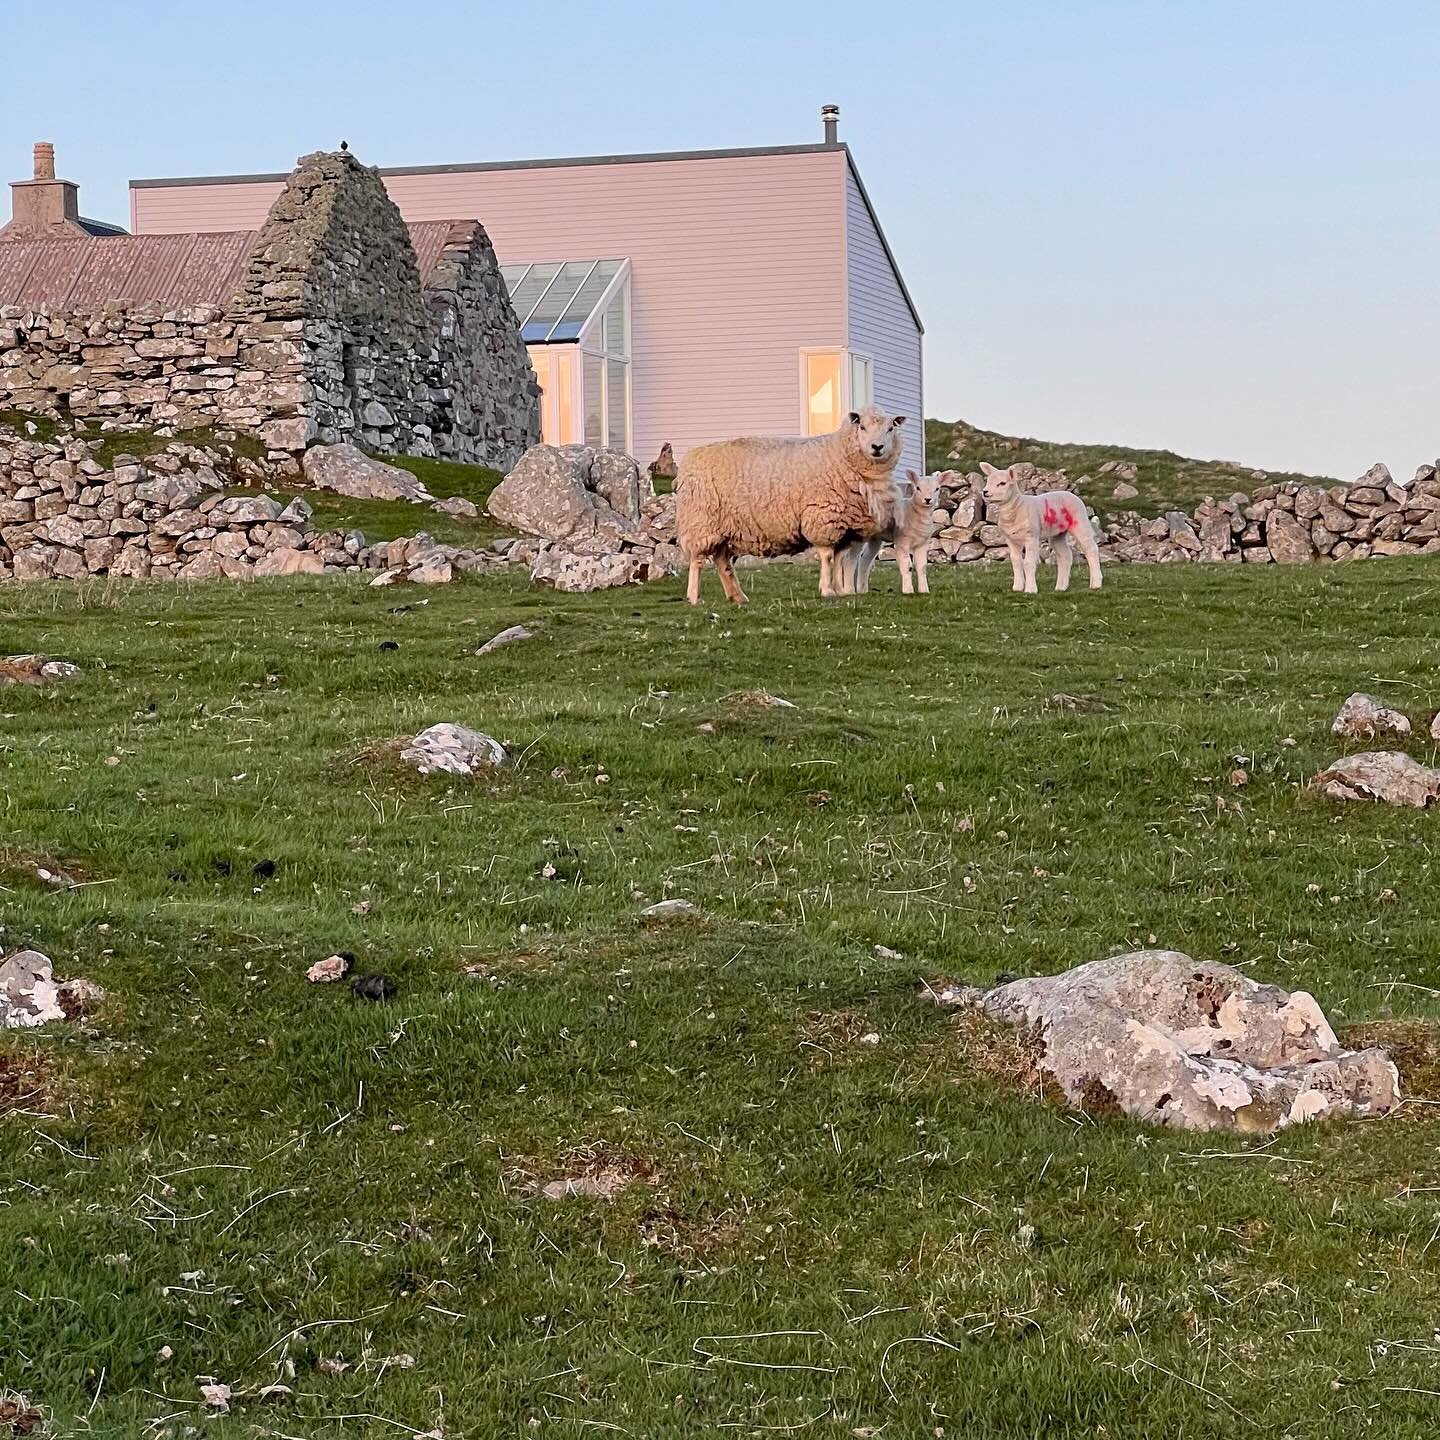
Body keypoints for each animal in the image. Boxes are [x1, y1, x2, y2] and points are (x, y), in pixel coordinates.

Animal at [671, 408, 904, 604]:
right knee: (697, 560)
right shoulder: (822, 518)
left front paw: (839, 590)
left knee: (722, 562)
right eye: (862, 427)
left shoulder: (845, 528)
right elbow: (827, 557)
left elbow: (838, 559)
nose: (877, 447)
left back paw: (738, 597)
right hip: (701, 522)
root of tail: (690, 459)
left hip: (725, 529)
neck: (841, 455)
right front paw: (827, 590)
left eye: (890, 428)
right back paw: (694, 597)